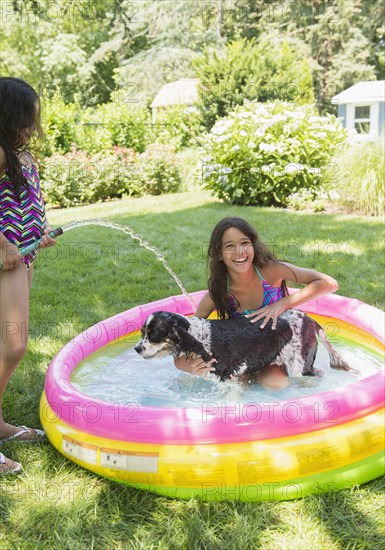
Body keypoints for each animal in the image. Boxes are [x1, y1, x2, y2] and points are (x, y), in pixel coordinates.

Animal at [134, 312, 352, 382]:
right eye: (142, 332)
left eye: (153, 334)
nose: (137, 349)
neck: (198, 336)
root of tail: (310, 319)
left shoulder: (225, 377)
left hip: (298, 366)